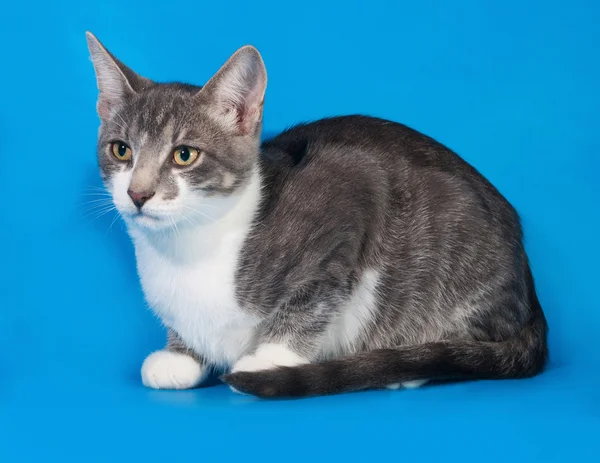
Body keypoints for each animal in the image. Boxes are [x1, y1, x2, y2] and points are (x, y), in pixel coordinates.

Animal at [85, 30, 548, 396]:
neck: (188, 249)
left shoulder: (350, 191)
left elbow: (312, 300)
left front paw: (271, 358)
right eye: (121, 150)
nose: (138, 193)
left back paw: (407, 362)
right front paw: (182, 356)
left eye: (184, 155)